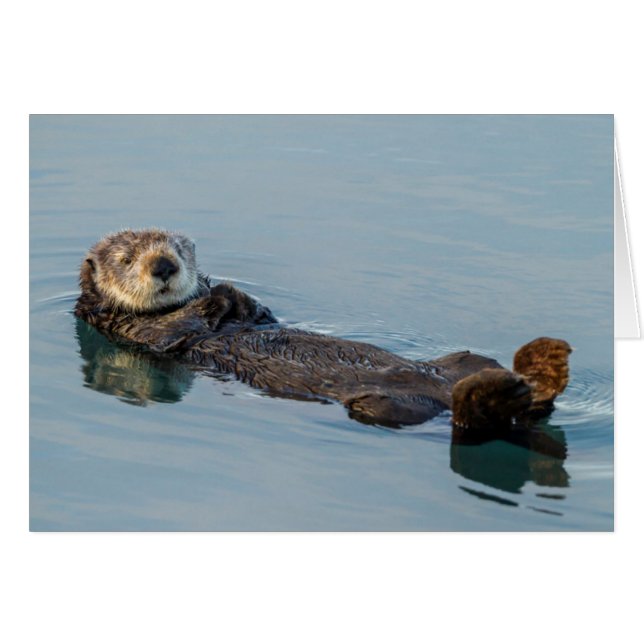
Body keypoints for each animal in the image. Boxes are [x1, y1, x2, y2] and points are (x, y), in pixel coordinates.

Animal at [74, 229, 572, 430]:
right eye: (126, 259)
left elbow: (257, 314)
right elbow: (178, 327)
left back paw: (543, 366)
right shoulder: (136, 332)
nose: (163, 265)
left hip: (463, 361)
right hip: (383, 408)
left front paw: (229, 292)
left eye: (177, 249)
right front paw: (215, 297)